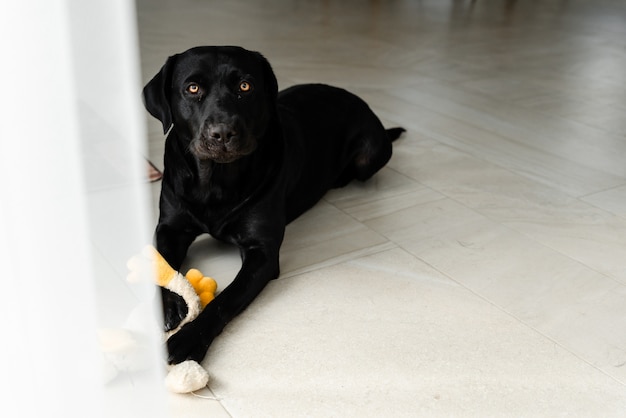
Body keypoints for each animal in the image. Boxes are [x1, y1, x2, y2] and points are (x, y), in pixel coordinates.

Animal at [143, 45, 404, 364]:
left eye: (245, 86)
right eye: (192, 88)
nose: (223, 132)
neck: (216, 181)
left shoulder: (262, 254)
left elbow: (225, 300)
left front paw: (189, 339)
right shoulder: (171, 228)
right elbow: (160, 262)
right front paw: (165, 306)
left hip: (372, 154)